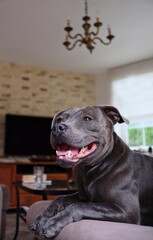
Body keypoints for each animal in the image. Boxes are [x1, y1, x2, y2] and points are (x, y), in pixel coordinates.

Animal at [30, 105, 153, 238]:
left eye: (87, 119)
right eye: (59, 120)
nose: (57, 128)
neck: (92, 169)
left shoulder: (127, 211)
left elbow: (79, 206)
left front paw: (52, 223)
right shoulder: (83, 197)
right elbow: (60, 198)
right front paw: (42, 217)